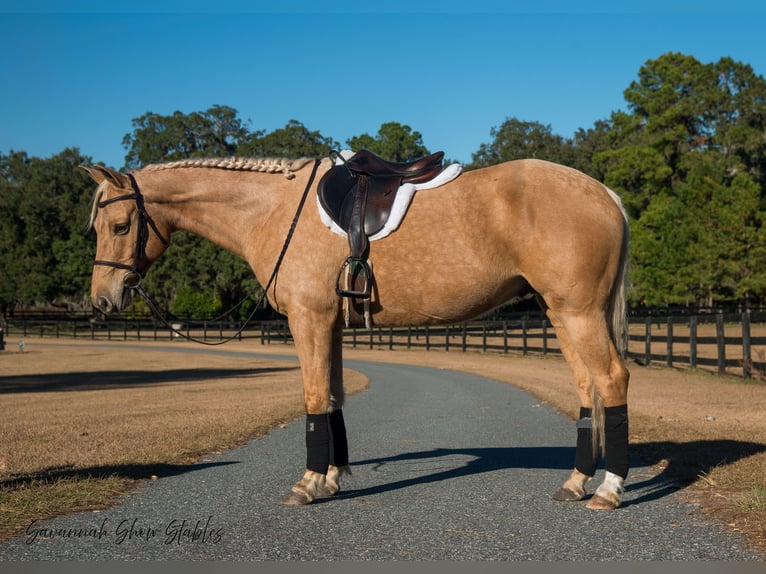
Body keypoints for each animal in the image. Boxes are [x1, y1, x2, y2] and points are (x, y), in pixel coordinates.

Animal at [84, 154, 632, 512]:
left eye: (119, 225)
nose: (103, 299)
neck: (274, 210)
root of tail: (603, 193)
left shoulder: (308, 319)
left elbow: (312, 397)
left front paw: (307, 484)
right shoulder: (328, 323)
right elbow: (333, 398)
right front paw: (332, 478)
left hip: (579, 311)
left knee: (611, 380)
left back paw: (608, 490)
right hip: (558, 311)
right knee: (586, 386)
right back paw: (576, 482)